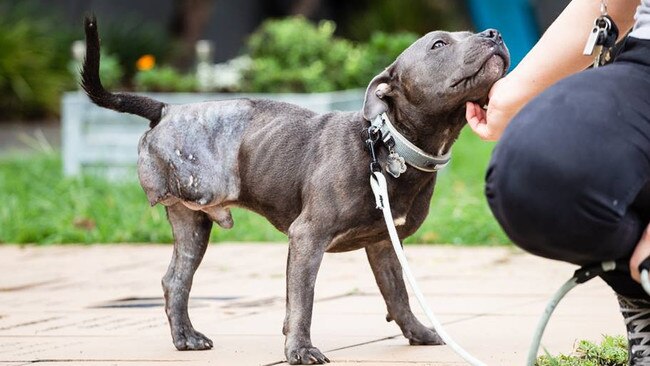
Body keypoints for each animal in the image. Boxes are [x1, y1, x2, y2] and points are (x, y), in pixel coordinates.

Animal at [79, 16, 506, 364]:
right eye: (439, 44)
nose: (494, 33)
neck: (387, 142)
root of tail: (166, 109)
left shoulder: (384, 245)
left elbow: (397, 294)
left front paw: (417, 333)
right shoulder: (307, 238)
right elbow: (303, 301)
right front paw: (299, 350)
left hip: (192, 224)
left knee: (175, 281)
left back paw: (186, 338)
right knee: (178, 280)